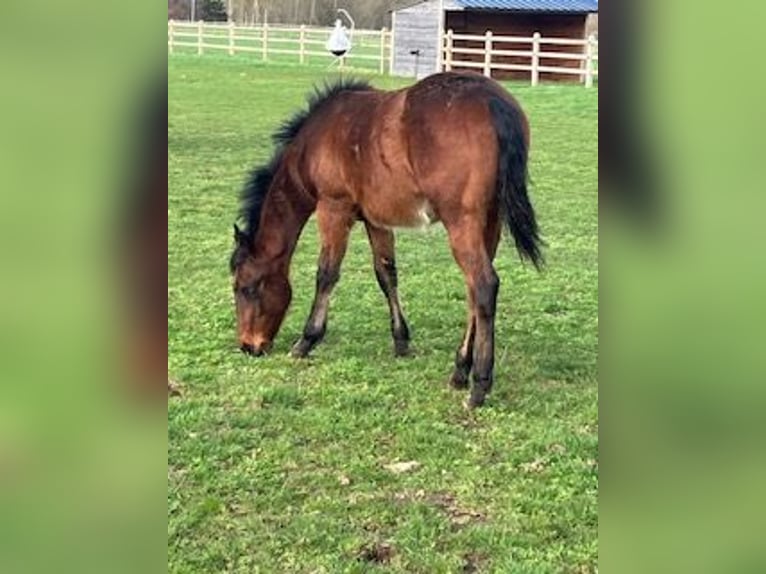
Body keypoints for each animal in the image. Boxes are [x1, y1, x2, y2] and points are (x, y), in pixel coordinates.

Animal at [230, 72, 543, 408]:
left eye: (245, 288)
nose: (249, 346)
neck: (314, 142)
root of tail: (493, 101)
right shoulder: (376, 220)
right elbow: (386, 274)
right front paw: (401, 340)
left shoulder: (333, 208)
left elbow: (326, 274)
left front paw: (306, 341)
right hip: (490, 221)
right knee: (474, 291)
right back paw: (460, 372)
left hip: (462, 221)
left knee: (484, 285)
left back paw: (478, 386)